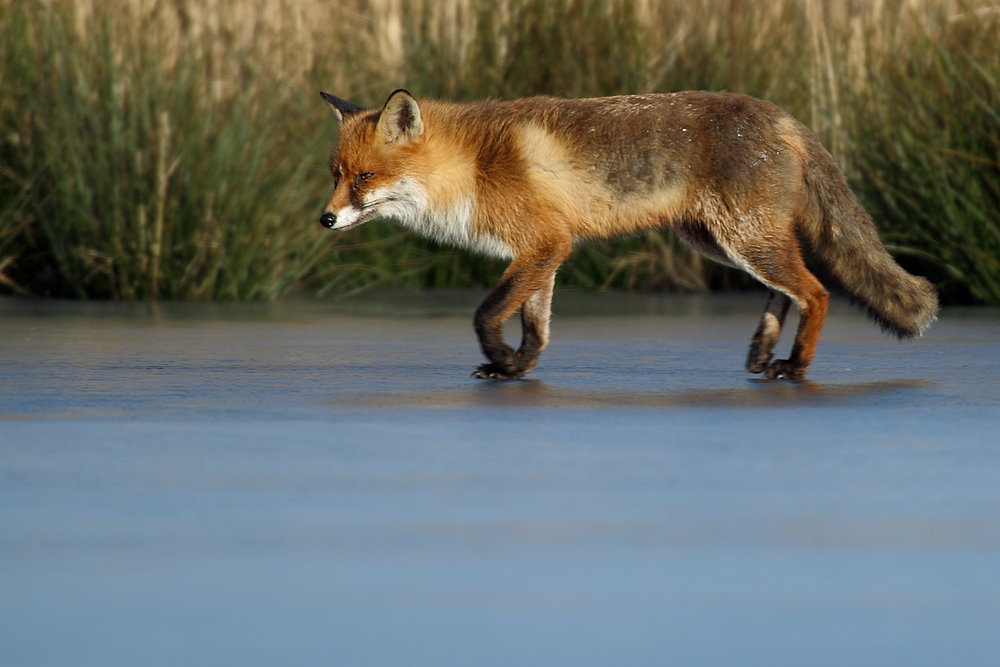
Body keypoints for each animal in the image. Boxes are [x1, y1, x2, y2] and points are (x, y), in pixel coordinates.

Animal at [318, 88, 936, 380]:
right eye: (335, 175)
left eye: (365, 178)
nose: (324, 219)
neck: (472, 167)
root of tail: (783, 115)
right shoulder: (543, 252)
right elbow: (537, 330)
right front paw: (514, 369)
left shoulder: (543, 245)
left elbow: (484, 314)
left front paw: (497, 356)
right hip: (724, 242)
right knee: (785, 291)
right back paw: (764, 352)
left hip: (744, 239)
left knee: (817, 292)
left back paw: (797, 366)